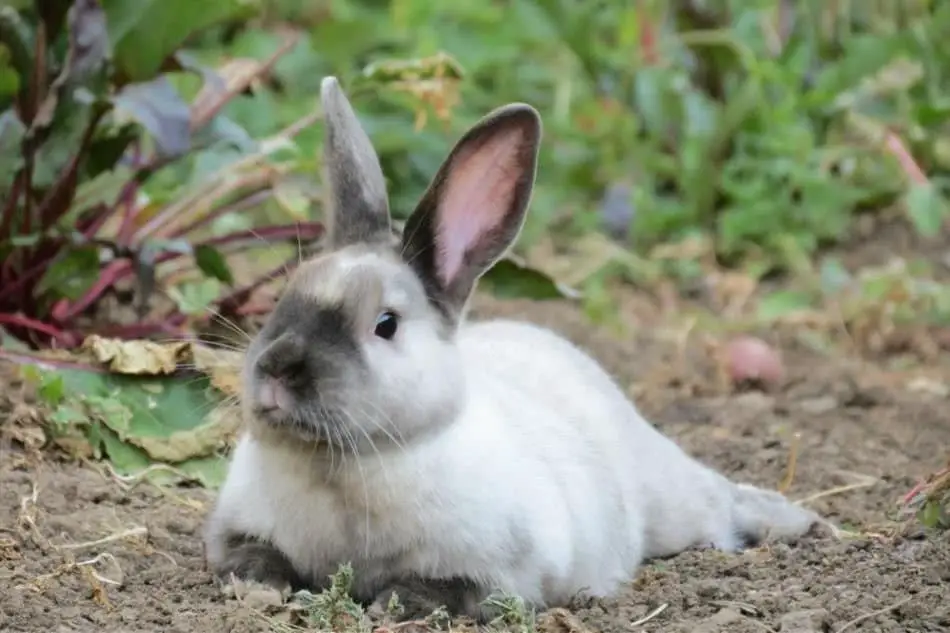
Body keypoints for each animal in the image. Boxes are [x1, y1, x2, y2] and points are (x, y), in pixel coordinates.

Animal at [205, 75, 828, 624]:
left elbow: (453, 589)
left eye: (385, 324)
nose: (277, 368)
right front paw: (259, 586)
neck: (343, 467)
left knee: (722, 501)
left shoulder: (504, 571)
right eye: (284, 295)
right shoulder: (235, 527)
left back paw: (804, 522)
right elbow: (250, 554)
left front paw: (397, 604)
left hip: (675, 502)